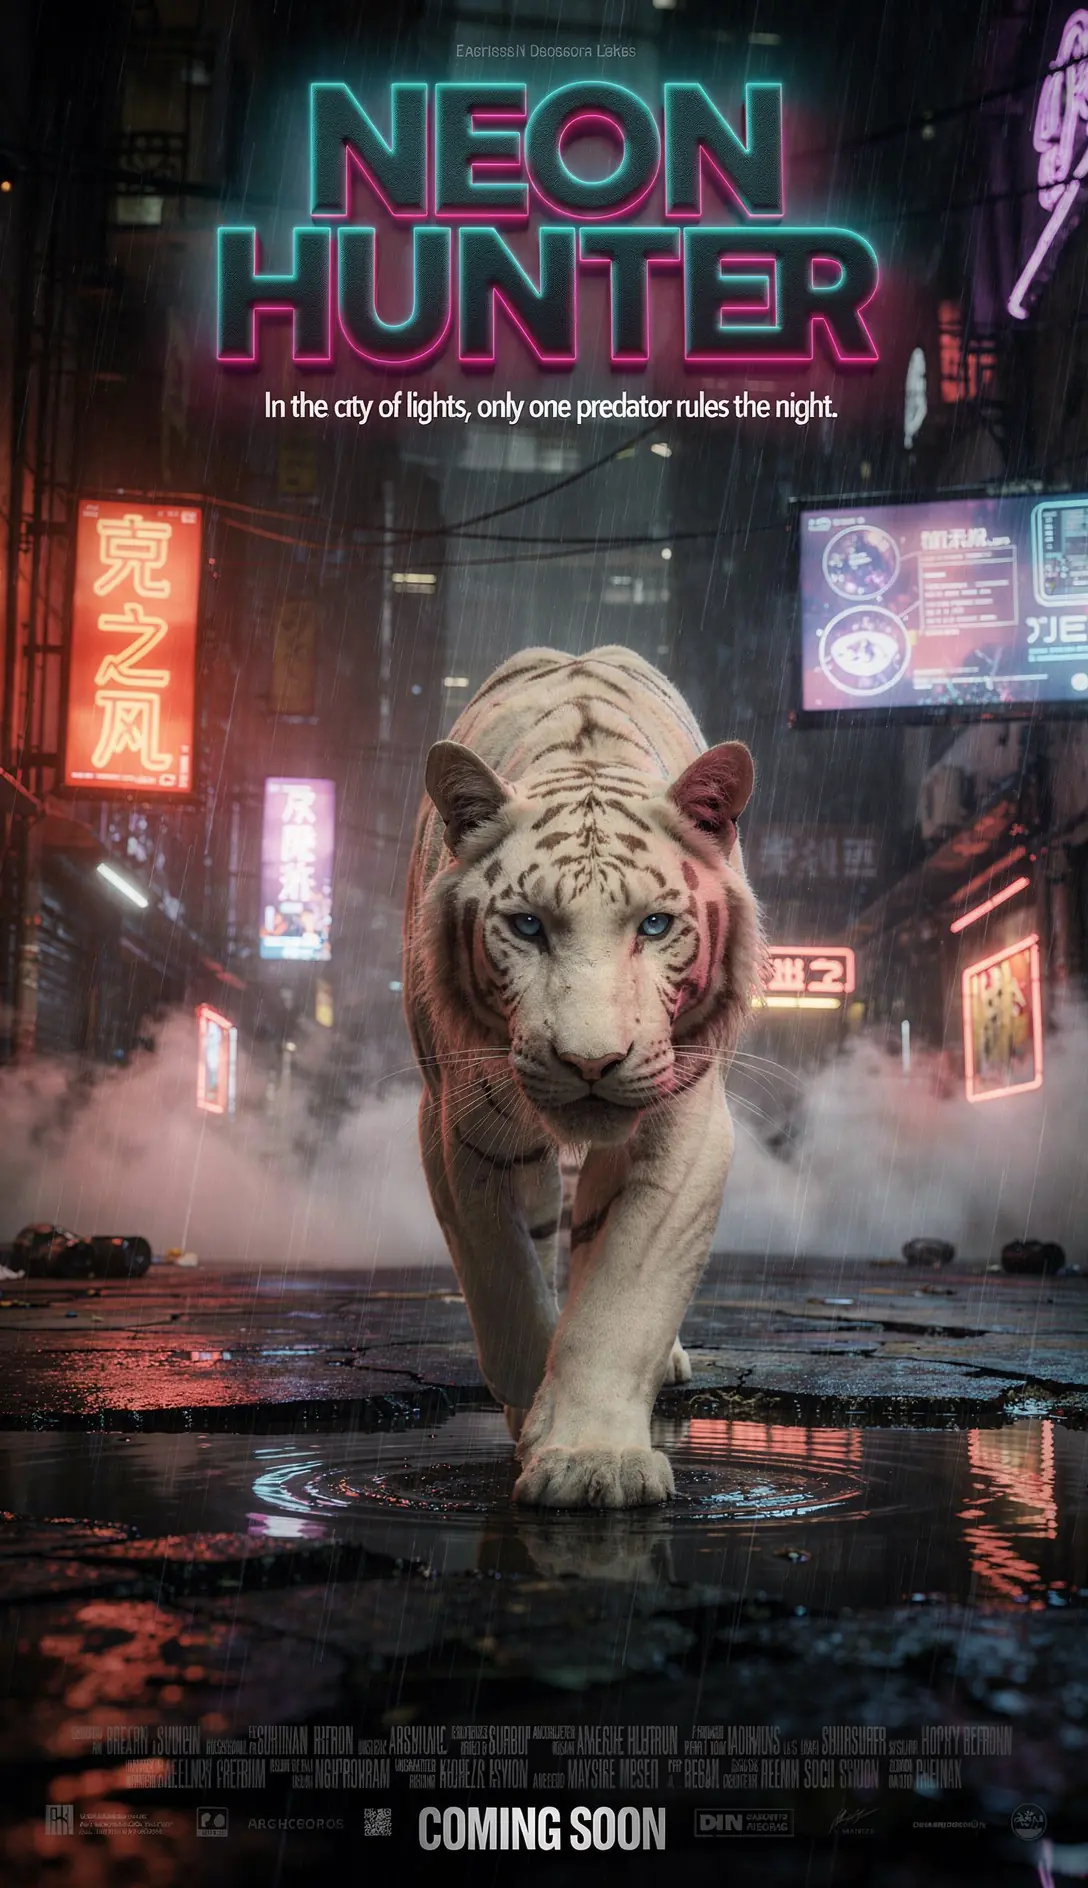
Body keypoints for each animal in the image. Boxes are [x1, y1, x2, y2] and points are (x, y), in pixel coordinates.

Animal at [402, 645, 761, 1508]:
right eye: (528, 925)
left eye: (655, 925)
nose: (591, 1062)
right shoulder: (457, 1122)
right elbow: (503, 1280)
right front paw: (535, 1413)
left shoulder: (684, 1122)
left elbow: (622, 1295)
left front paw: (591, 1460)